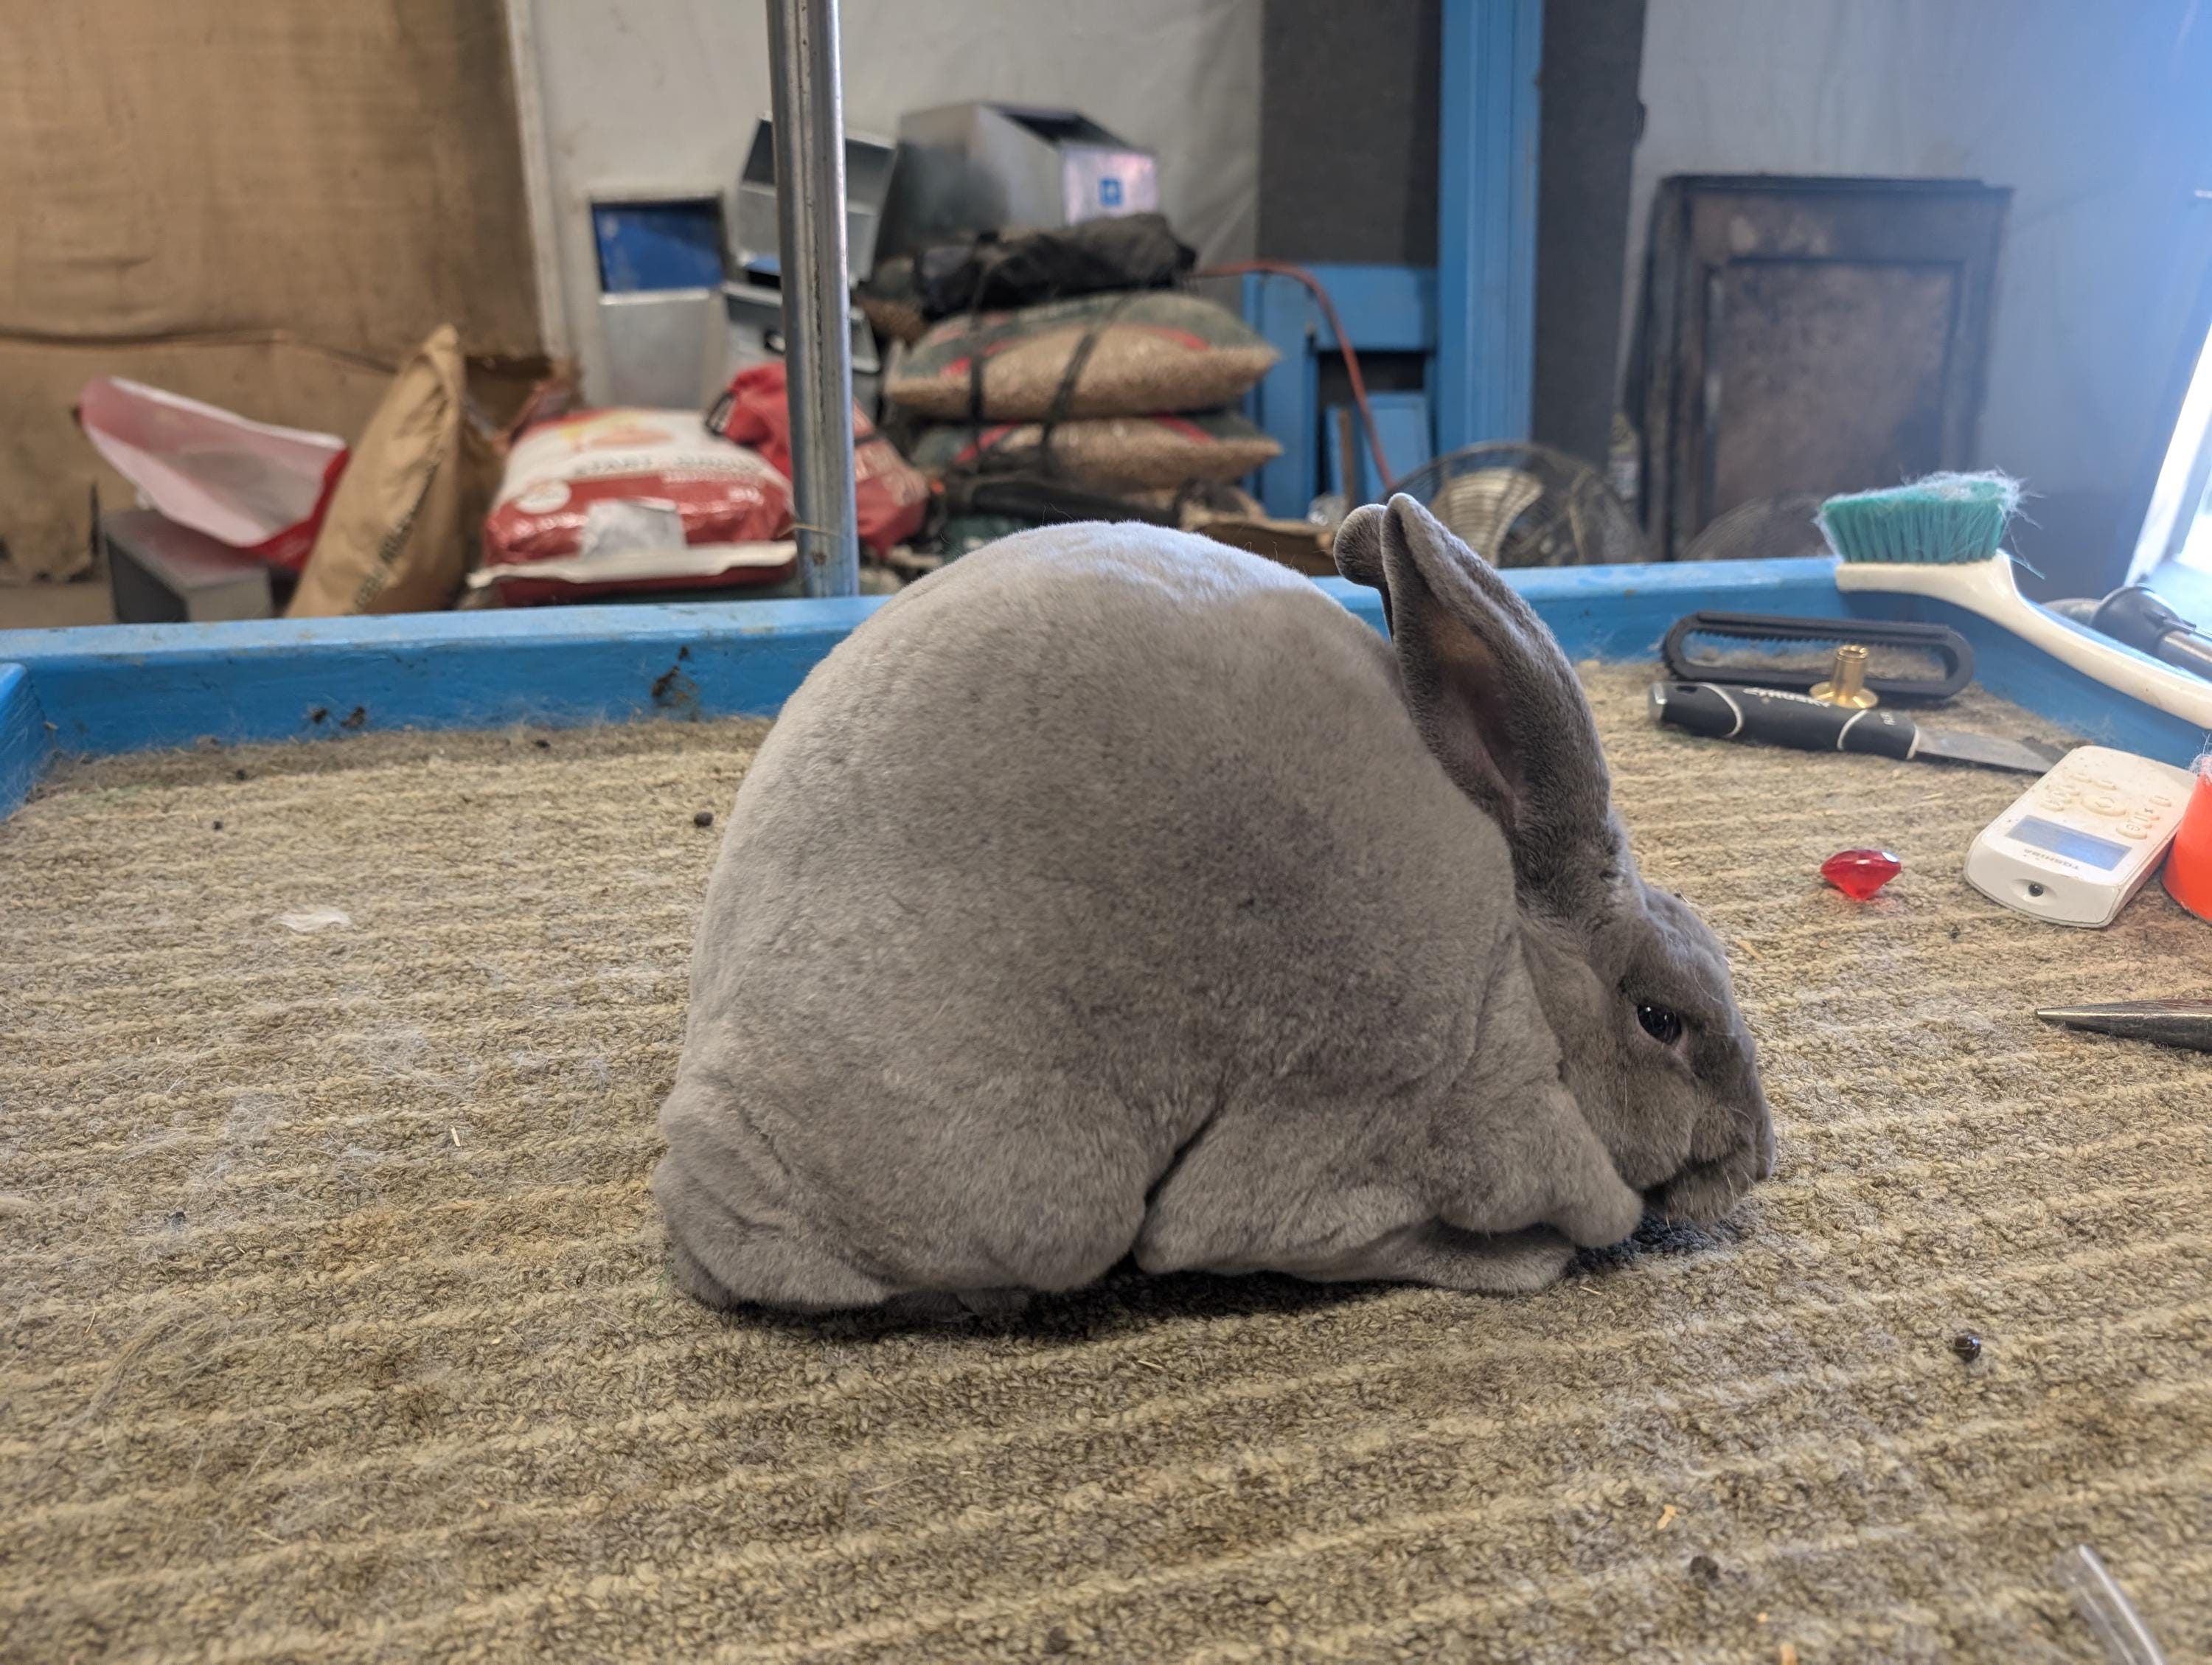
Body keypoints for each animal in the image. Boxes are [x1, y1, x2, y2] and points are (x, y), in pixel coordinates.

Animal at [654, 494, 1774, 1315]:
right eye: (1661, 1019)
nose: (1756, 1158)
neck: (1527, 1003)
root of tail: (717, 1010)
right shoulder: (1335, 1160)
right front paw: (1521, 1257)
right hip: (1042, 1186)